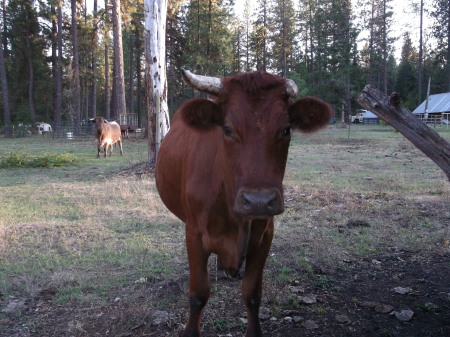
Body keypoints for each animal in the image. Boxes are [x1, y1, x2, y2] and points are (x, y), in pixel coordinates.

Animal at [156, 69, 332, 334]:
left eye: (287, 129)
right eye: (227, 129)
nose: (258, 201)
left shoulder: (265, 234)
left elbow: (252, 294)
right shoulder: (194, 234)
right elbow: (198, 294)